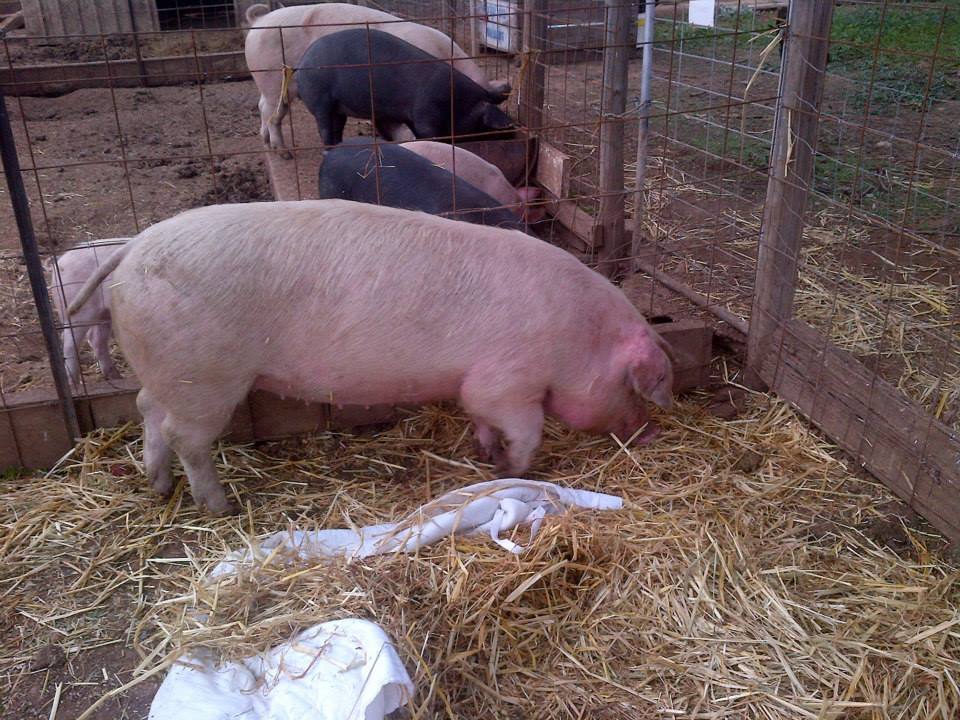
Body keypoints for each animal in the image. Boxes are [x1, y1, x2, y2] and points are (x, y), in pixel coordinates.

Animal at [48, 239, 129, 389]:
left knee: (96, 339)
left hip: (103, 313)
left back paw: (116, 377)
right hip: (77, 309)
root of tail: (59, 262)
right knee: (69, 342)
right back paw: (74, 385)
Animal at [68, 200, 673, 515]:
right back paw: (221, 507)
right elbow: (525, 430)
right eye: (634, 386)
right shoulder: (508, 380)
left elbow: (478, 416)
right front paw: (511, 469)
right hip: (205, 376)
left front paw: (484, 454)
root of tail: (131, 251)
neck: (579, 337)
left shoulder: (476, 386)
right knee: (185, 435)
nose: (650, 433)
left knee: (147, 411)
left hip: (168, 372)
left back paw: (158, 487)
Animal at [295, 29, 513, 146]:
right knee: (324, 128)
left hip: (338, 108)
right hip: (319, 99)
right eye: (485, 126)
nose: (511, 128)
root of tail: (302, 62)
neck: (458, 103)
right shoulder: (425, 114)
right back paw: (328, 148)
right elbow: (429, 135)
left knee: (337, 126)